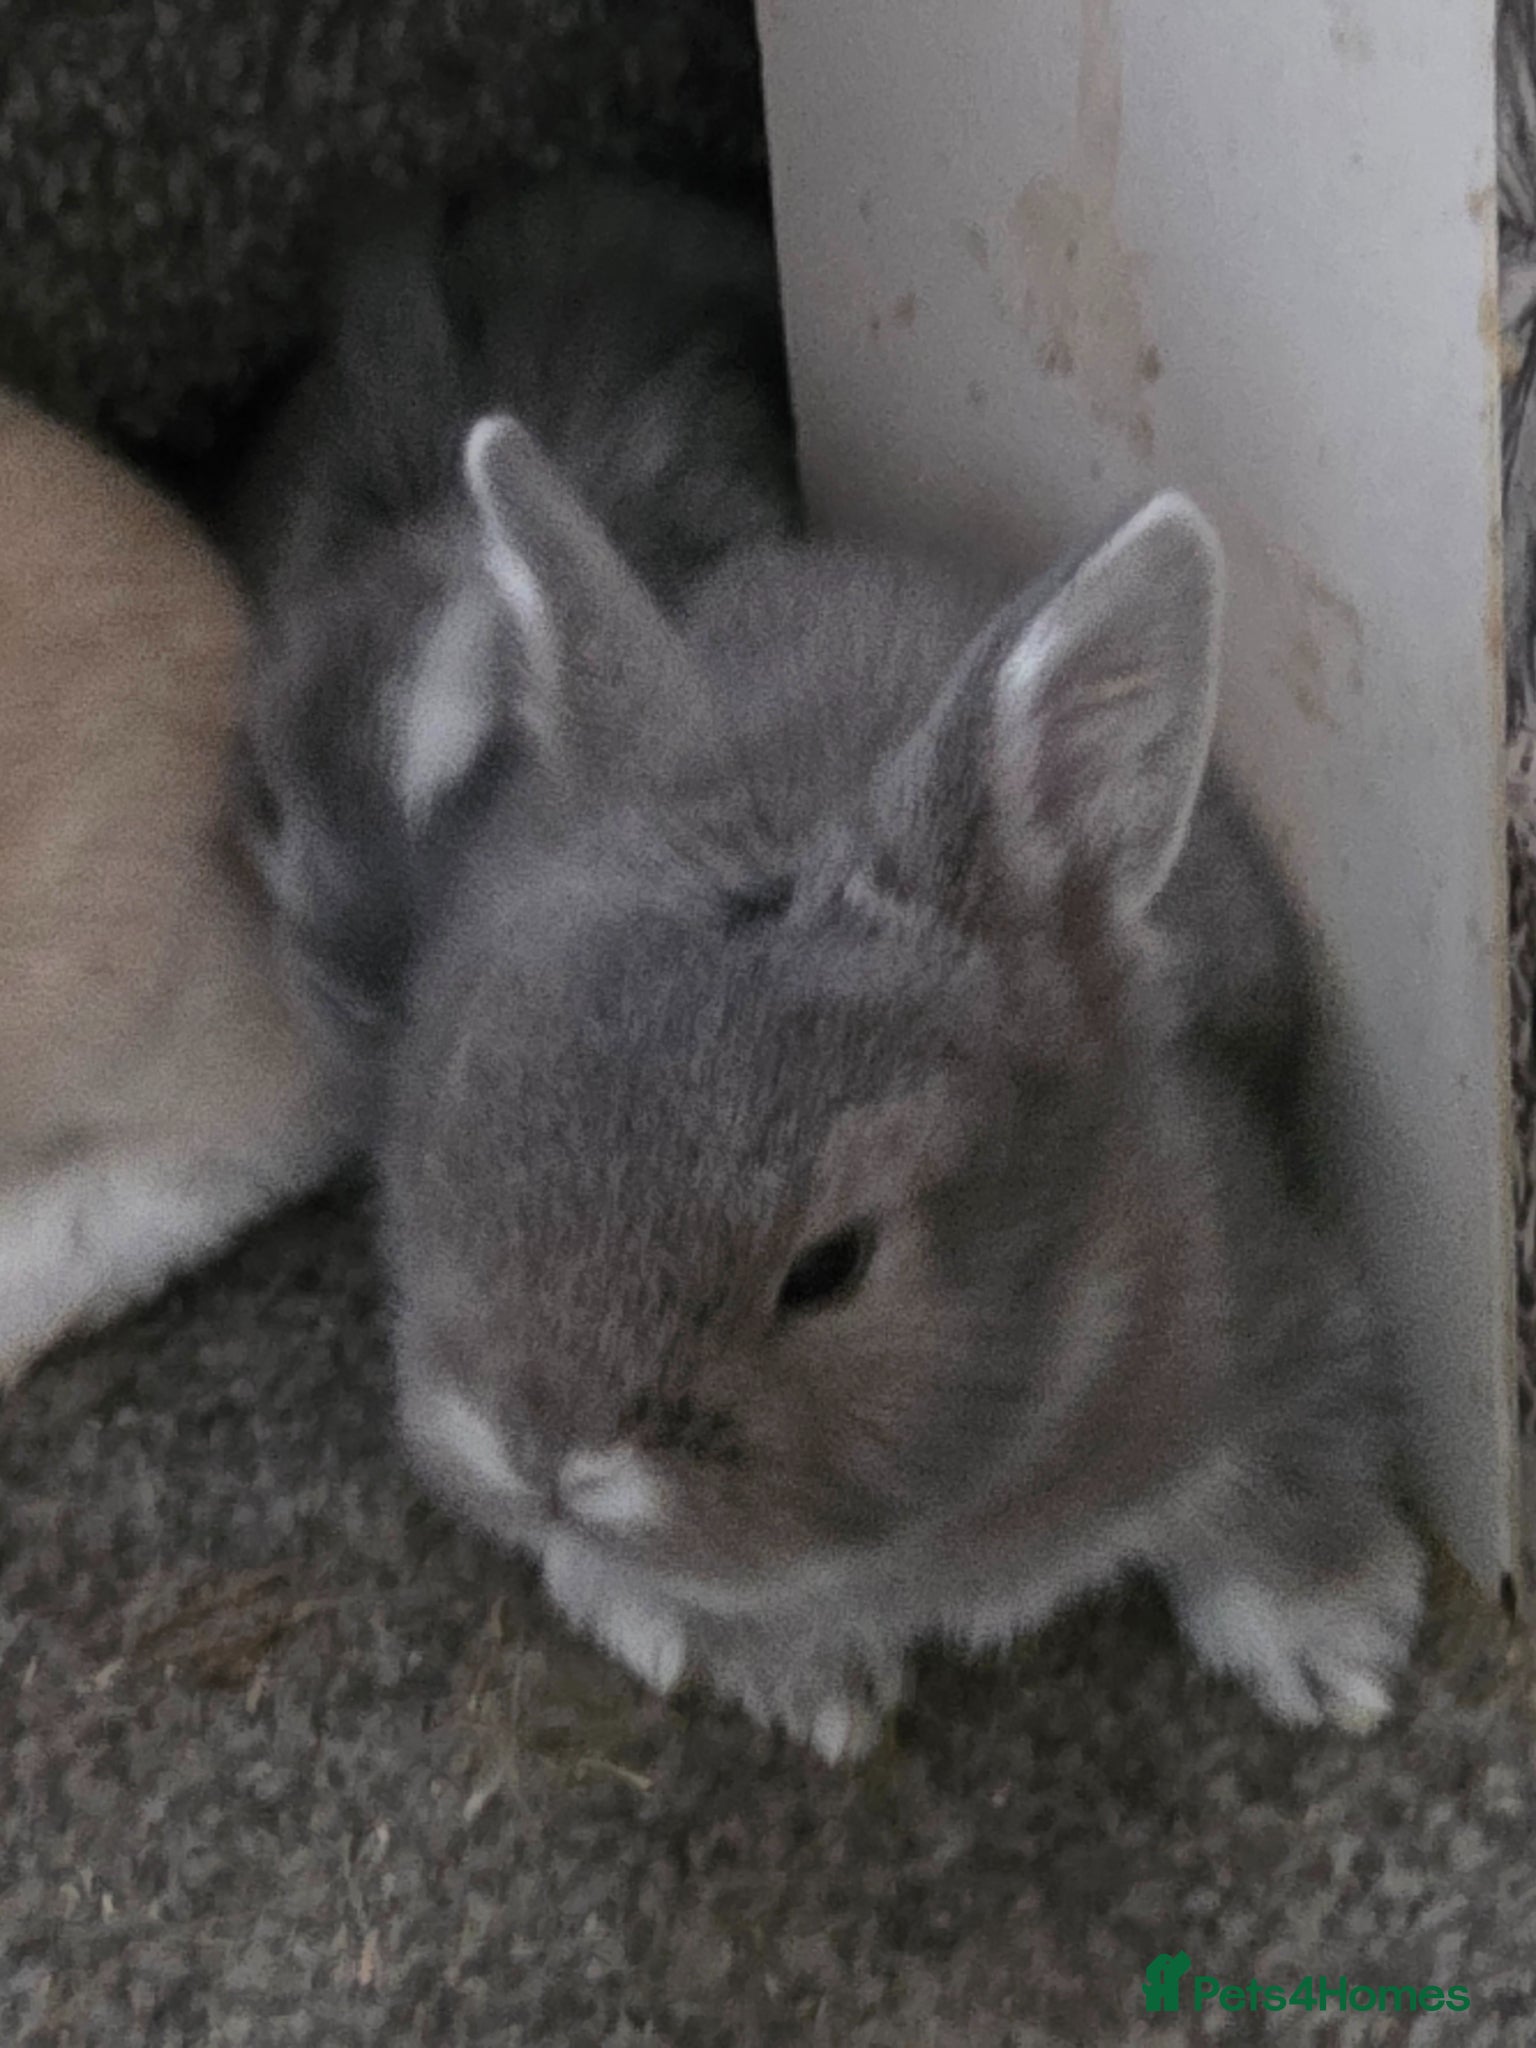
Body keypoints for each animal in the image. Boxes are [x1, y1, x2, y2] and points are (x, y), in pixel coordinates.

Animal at [379, 414, 1422, 1763]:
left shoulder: (1283, 1311)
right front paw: (811, 1693)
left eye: (832, 1264)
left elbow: (1289, 1481)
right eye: (462, 1121)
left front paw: (1336, 1655)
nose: (543, 1453)